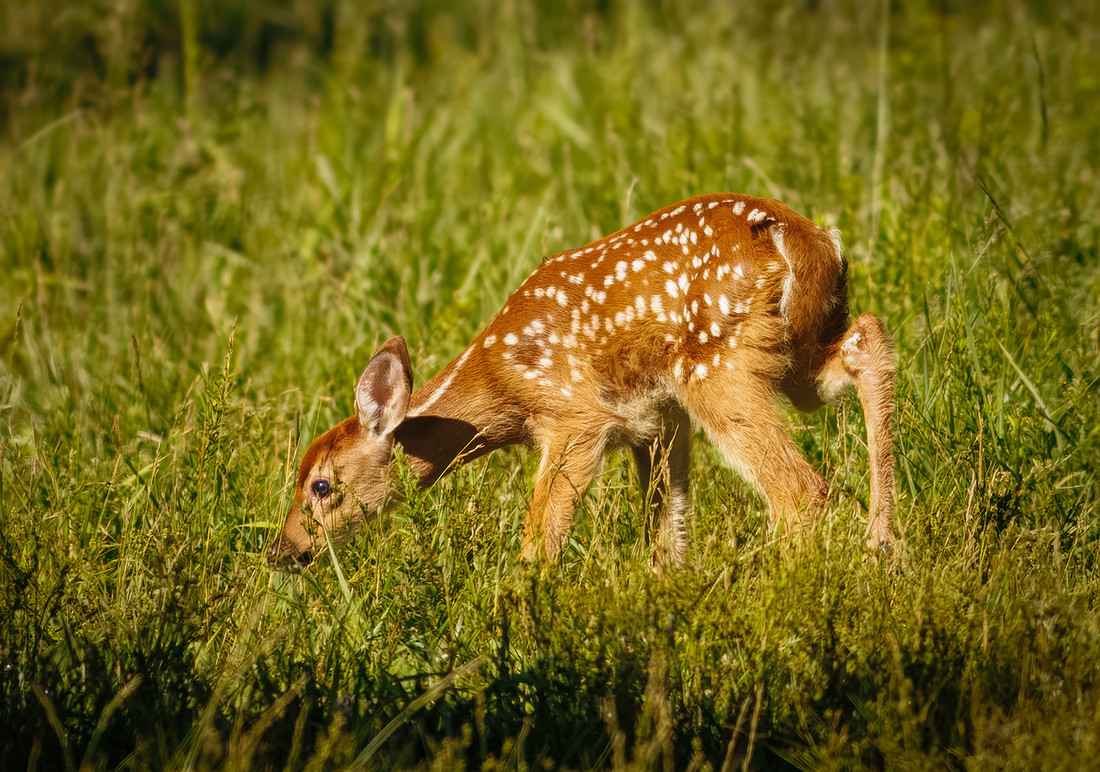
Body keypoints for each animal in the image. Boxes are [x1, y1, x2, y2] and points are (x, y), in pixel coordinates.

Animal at [268, 193, 897, 570]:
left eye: (320, 485)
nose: (283, 549)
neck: (498, 383)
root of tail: (807, 239)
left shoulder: (574, 418)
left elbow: (540, 540)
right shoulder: (657, 421)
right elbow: (667, 531)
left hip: (717, 365)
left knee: (799, 491)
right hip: (797, 351)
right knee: (868, 343)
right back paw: (884, 542)